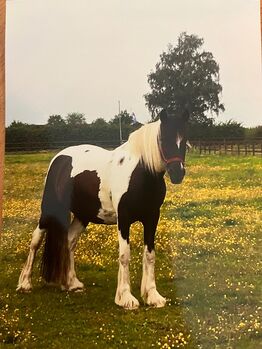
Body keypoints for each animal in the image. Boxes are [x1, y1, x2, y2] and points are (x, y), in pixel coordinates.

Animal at [16, 109, 188, 308]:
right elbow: (124, 255)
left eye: (184, 140)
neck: (140, 174)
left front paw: (152, 296)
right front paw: (126, 298)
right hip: (49, 210)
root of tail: (59, 158)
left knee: (70, 240)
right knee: (35, 240)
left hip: (82, 215)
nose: (177, 173)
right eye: (163, 139)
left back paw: (72, 283)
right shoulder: (124, 219)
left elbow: (150, 255)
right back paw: (25, 283)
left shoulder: (152, 218)